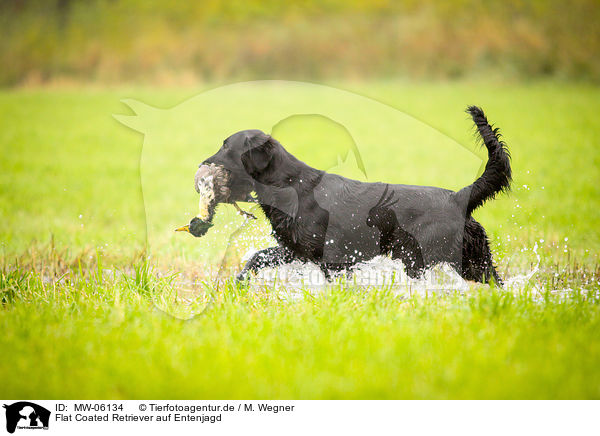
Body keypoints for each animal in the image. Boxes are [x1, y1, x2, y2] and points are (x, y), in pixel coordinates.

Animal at [199, 105, 508, 282]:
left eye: (226, 147)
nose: (203, 162)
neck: (291, 186)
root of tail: (458, 197)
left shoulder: (333, 258)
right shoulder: (294, 249)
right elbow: (257, 257)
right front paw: (237, 284)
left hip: (419, 256)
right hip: (474, 261)